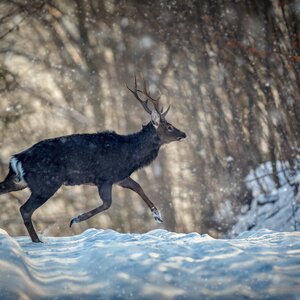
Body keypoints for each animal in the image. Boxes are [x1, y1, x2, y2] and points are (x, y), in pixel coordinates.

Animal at [0, 78, 186, 243]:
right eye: (169, 127)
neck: (130, 155)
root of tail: (17, 158)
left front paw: (158, 216)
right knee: (25, 209)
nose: (183, 134)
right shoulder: (104, 177)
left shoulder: (119, 177)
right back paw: (37, 241)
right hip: (46, 183)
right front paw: (75, 219)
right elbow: (108, 203)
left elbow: (138, 187)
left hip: (19, 181)